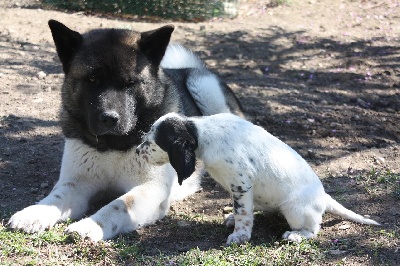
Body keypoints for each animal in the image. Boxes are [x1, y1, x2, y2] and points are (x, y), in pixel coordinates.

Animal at [7, 20, 242, 241]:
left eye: (130, 83)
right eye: (92, 79)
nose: (109, 118)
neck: (113, 143)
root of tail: (185, 70)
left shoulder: (151, 189)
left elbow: (119, 204)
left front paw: (91, 225)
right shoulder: (78, 183)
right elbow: (56, 197)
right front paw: (34, 213)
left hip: (204, 87)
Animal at [136, 113, 380, 244]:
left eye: (153, 143)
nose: (137, 151)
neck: (202, 133)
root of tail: (323, 197)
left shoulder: (241, 184)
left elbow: (243, 212)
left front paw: (240, 236)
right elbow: (242, 211)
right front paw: (234, 222)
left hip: (295, 209)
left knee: (313, 228)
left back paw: (296, 235)